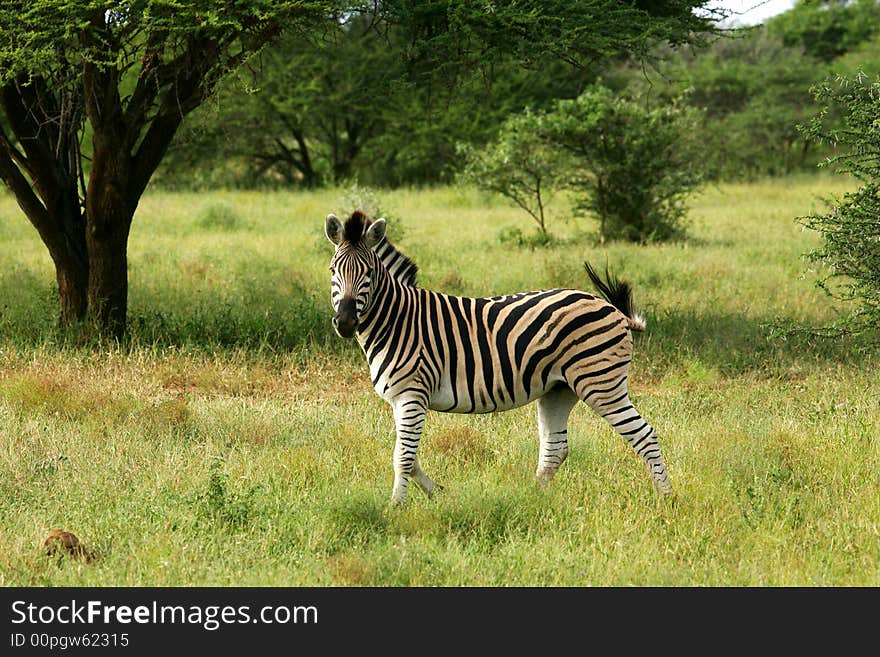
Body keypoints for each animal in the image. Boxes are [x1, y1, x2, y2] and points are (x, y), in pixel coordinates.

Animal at [326, 209, 672, 502]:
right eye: (332, 270)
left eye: (369, 272)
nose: (345, 322)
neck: (397, 320)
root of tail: (611, 308)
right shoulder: (401, 399)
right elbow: (409, 458)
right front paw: (438, 492)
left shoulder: (412, 395)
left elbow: (402, 457)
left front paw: (396, 507)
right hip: (559, 389)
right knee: (555, 449)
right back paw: (530, 501)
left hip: (601, 384)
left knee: (645, 435)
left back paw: (666, 498)